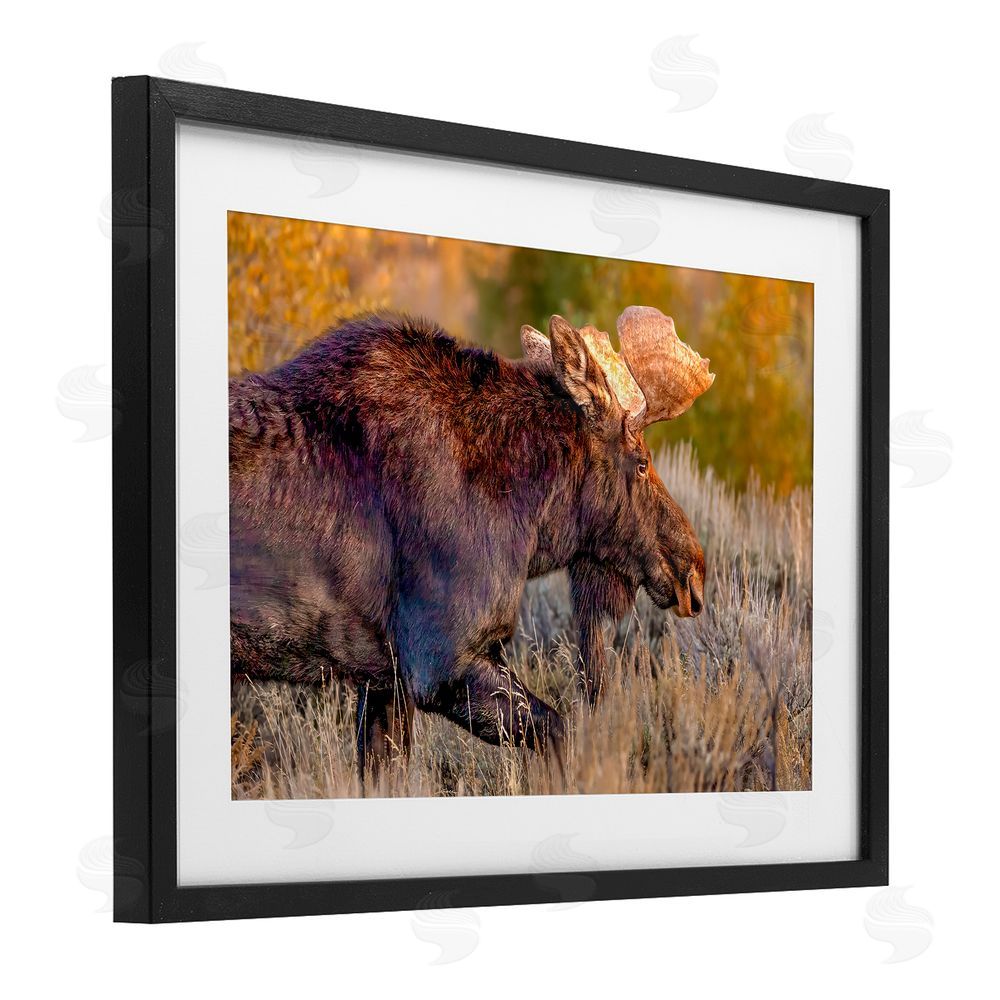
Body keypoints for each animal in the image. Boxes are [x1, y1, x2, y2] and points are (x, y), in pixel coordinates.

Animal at [229, 305, 714, 776]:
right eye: (642, 462)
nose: (693, 569)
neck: (529, 517)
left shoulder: (385, 679)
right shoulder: (441, 661)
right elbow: (560, 733)